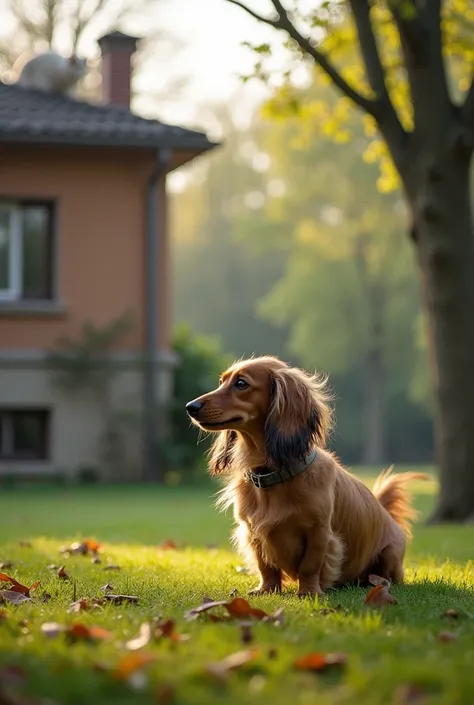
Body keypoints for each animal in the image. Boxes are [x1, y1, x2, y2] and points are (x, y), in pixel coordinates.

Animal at [185, 358, 426, 592]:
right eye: (221, 382)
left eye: (241, 383)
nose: (190, 407)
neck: (275, 475)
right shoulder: (252, 533)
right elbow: (265, 566)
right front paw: (266, 589)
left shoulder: (319, 533)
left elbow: (310, 566)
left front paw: (309, 592)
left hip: (390, 554)